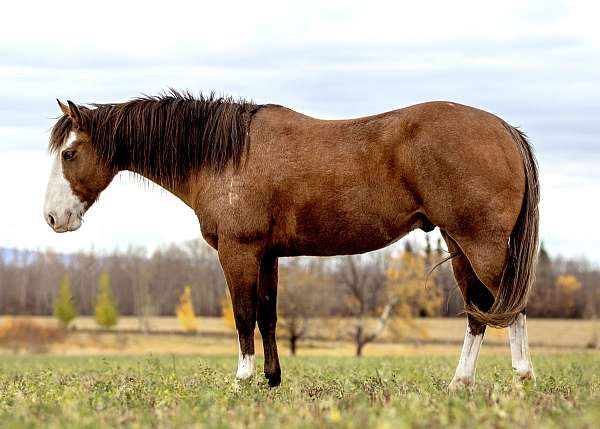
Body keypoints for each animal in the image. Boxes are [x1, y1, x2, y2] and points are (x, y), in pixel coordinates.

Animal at [42, 92, 540, 390]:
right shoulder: (268, 256)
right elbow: (267, 317)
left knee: (510, 307)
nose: (53, 218)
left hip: (483, 246)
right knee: (477, 313)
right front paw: (271, 380)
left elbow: (243, 316)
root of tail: (504, 129)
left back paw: (523, 376)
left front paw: (242, 381)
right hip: (459, 245)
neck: (227, 154)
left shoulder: (239, 252)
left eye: (69, 153)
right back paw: (460, 384)